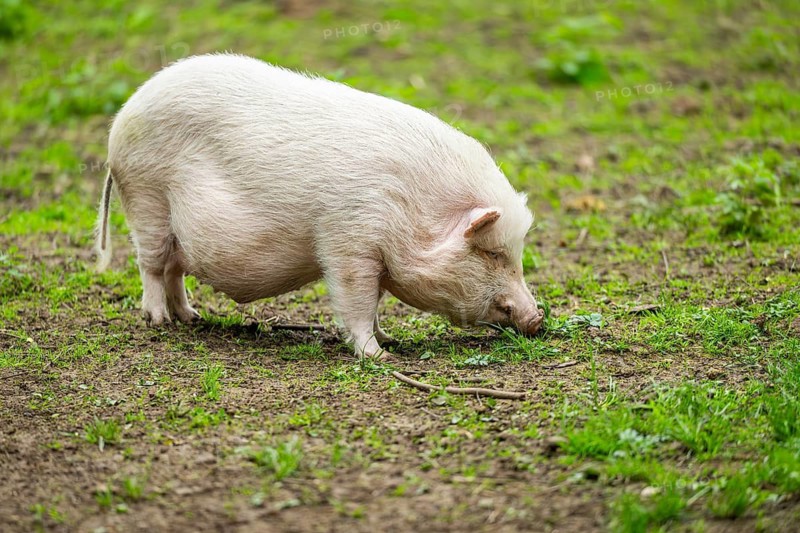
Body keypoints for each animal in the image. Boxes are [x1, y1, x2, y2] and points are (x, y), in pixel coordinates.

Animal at [94, 54, 543, 359]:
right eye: (491, 252)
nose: (538, 318)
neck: (413, 205)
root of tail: (122, 119)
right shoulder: (348, 240)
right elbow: (356, 300)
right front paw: (381, 355)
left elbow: (374, 304)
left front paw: (390, 339)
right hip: (146, 198)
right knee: (151, 266)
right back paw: (159, 321)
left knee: (174, 270)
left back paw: (193, 318)